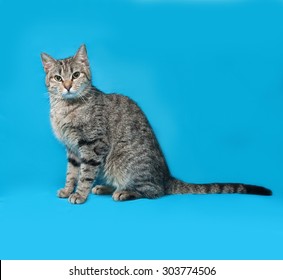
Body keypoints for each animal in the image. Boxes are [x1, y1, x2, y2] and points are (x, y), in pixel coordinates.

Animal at [40, 45, 272, 203]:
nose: (67, 86)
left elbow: (86, 173)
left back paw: (123, 192)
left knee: (153, 191)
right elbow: (72, 172)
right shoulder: (72, 149)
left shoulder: (93, 145)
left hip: (126, 166)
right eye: (58, 78)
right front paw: (68, 189)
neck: (65, 108)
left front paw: (80, 194)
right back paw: (106, 188)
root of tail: (166, 177)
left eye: (76, 75)